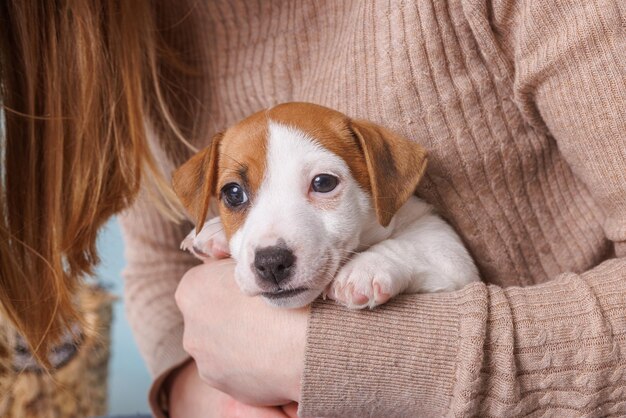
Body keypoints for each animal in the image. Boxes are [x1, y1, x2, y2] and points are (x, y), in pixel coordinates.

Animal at [171, 103, 478, 308]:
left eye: (323, 182)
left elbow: (413, 243)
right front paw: (212, 233)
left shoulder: (452, 259)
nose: (270, 262)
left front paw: (365, 267)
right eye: (233, 193)